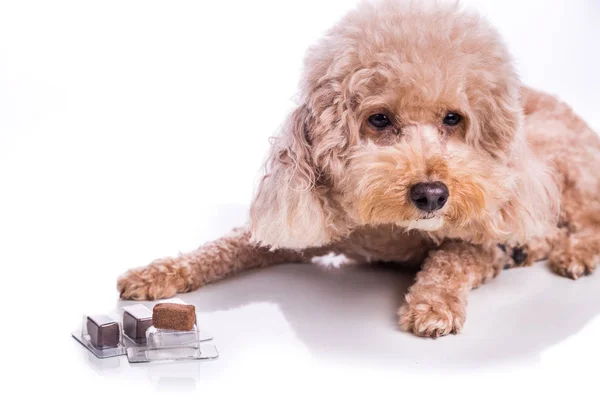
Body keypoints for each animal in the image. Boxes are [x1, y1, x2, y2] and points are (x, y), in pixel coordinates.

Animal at [117, 0, 600, 338]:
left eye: (453, 119)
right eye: (379, 119)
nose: (432, 194)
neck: (394, 229)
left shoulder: (480, 239)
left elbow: (451, 258)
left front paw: (433, 306)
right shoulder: (305, 229)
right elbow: (224, 246)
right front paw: (157, 273)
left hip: (565, 166)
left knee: (587, 218)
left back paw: (570, 252)